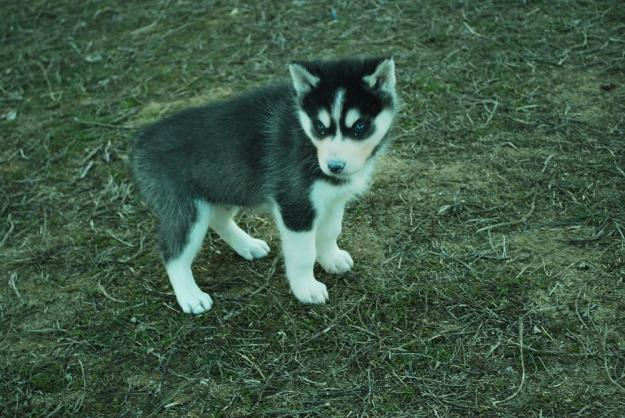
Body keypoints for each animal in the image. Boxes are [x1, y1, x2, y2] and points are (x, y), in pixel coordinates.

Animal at [133, 58, 394, 314]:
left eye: (359, 126)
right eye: (320, 127)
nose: (334, 167)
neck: (307, 139)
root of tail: (141, 139)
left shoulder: (333, 199)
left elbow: (330, 232)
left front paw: (332, 258)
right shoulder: (295, 205)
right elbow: (303, 254)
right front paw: (306, 288)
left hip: (228, 186)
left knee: (218, 218)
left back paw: (247, 245)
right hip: (186, 207)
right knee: (173, 252)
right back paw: (190, 296)